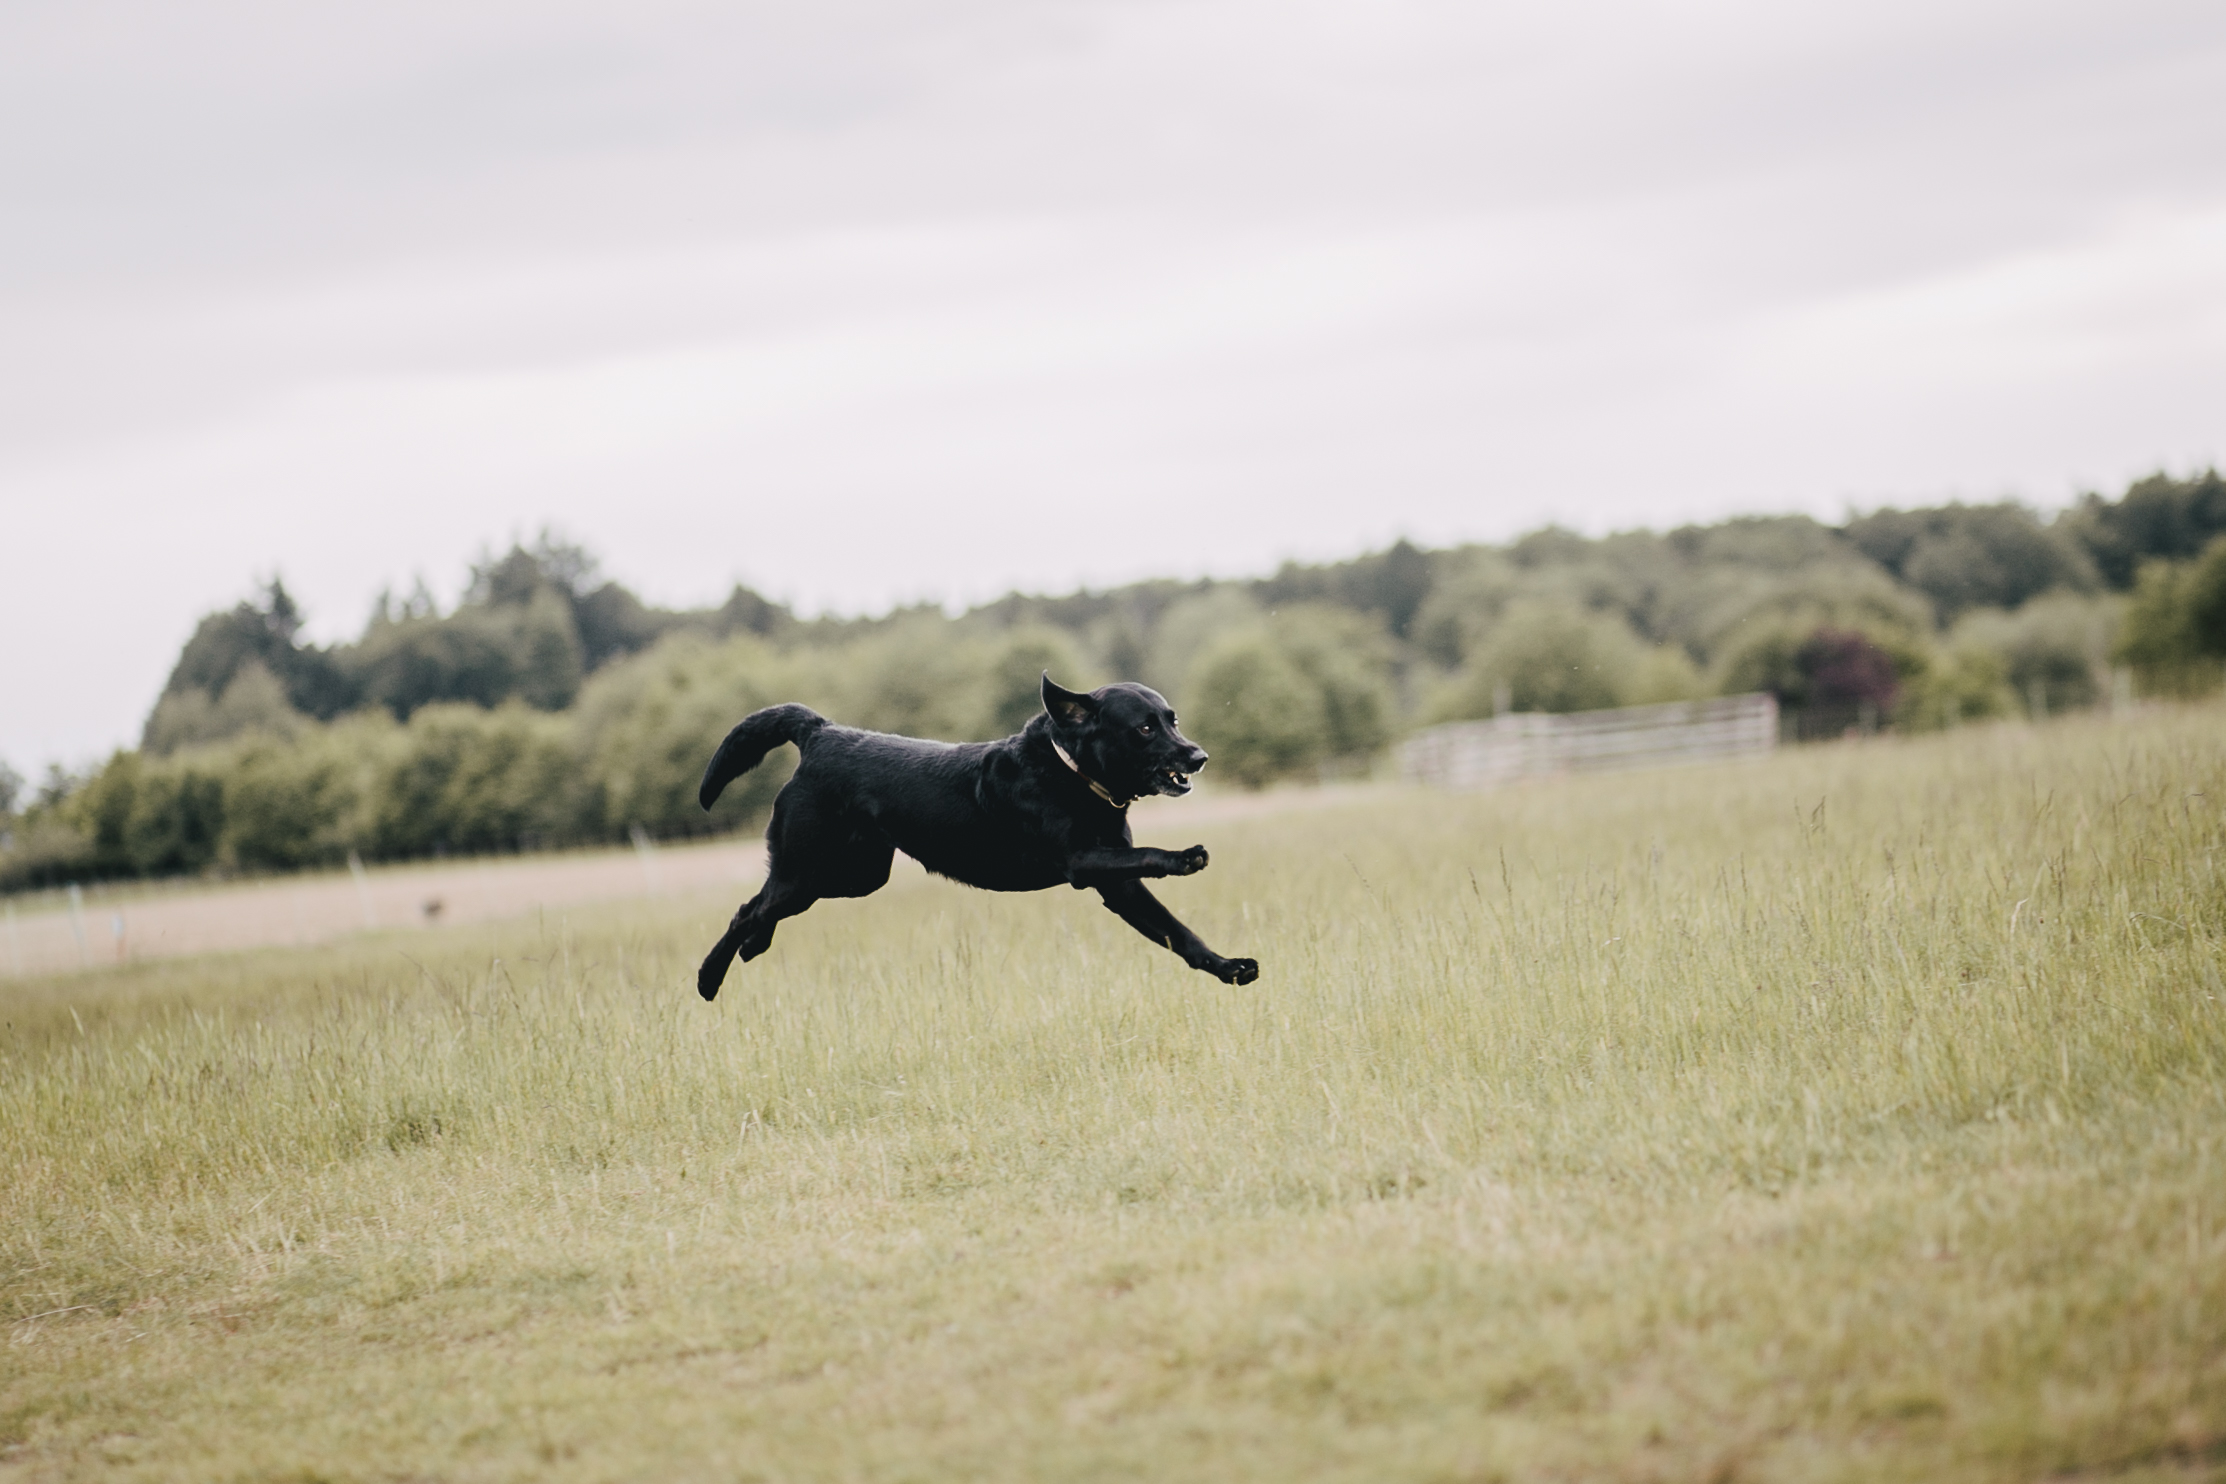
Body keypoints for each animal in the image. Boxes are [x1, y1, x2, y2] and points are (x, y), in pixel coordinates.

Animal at [693, 674, 1260, 999]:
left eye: (1172, 719)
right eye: (1144, 728)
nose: (1198, 756)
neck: (1069, 772)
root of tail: (819, 733)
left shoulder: (1118, 886)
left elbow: (1179, 934)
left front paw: (1229, 969)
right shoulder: (1081, 860)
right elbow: (1148, 854)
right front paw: (1184, 856)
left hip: (855, 877)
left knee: (759, 908)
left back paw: (752, 948)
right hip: (808, 869)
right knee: (748, 909)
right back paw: (708, 977)